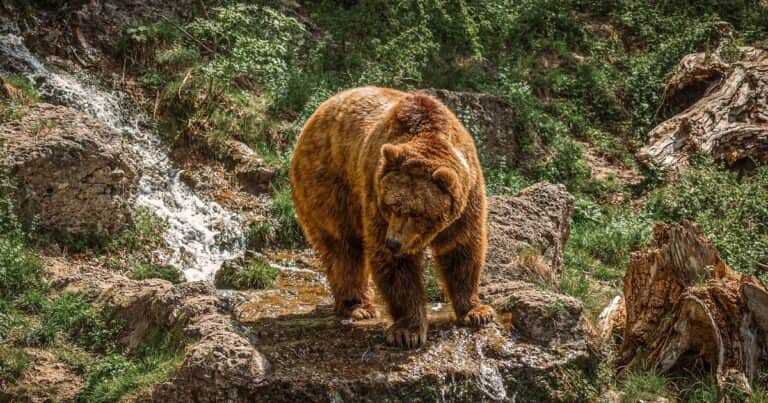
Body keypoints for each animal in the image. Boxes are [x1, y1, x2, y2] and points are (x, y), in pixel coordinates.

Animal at [290, 87, 494, 348]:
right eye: (392, 206)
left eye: (417, 213)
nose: (394, 242)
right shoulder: (374, 193)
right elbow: (395, 267)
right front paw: (407, 332)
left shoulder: (467, 201)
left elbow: (462, 249)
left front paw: (477, 312)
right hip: (329, 185)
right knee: (343, 248)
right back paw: (358, 306)